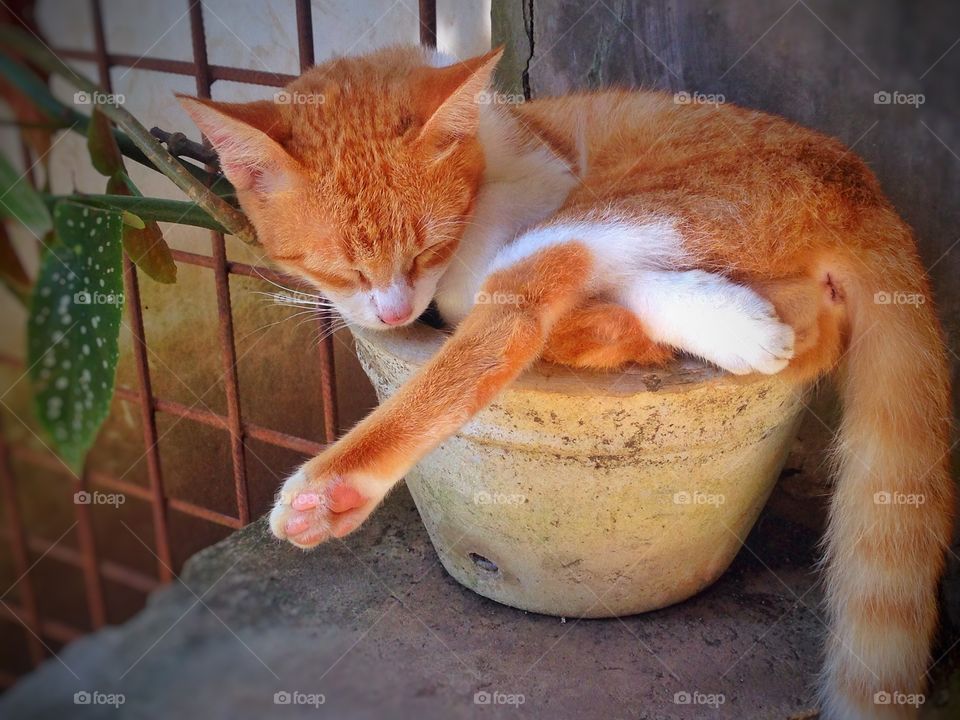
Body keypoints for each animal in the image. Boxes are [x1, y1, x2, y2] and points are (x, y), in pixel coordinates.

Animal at [180, 46, 952, 720]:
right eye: (338, 268)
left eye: (425, 247)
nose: (394, 312)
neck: (497, 145)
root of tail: (865, 189)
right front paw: (716, 318)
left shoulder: (535, 203)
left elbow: (484, 290)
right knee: (798, 322)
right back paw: (735, 325)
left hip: (645, 208)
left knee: (520, 305)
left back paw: (335, 485)